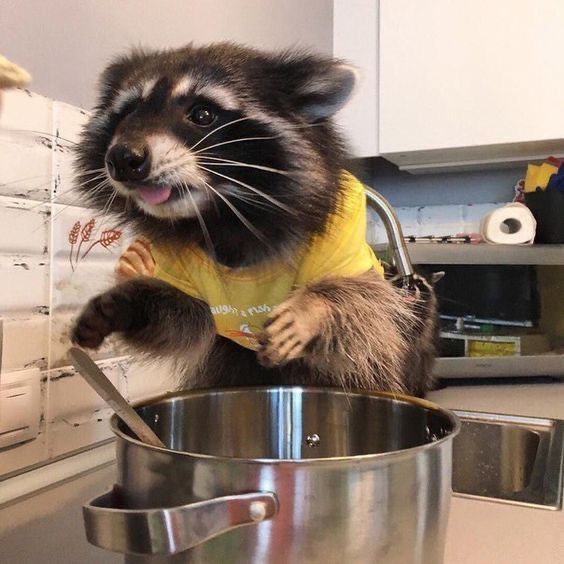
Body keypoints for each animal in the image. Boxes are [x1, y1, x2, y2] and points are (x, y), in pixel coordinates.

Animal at [72, 43, 438, 396]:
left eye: (203, 114)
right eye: (128, 112)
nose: (123, 158)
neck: (225, 215)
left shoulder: (341, 241)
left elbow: (365, 307)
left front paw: (314, 307)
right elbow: (185, 321)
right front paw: (128, 302)